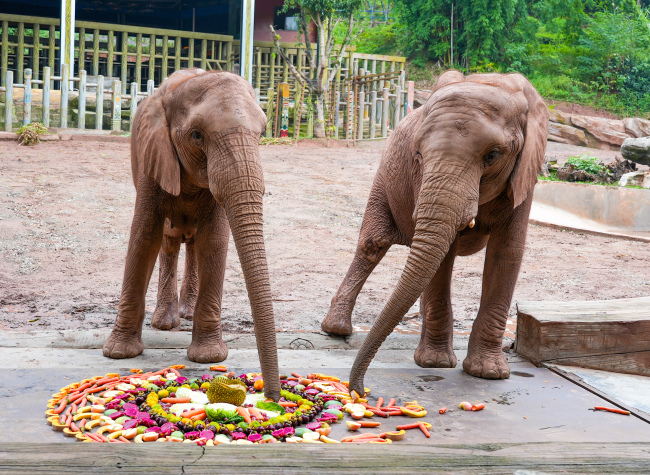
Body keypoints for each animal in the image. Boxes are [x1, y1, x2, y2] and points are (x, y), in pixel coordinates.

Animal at [103, 69, 281, 400]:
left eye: (262, 133)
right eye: (197, 136)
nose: (271, 397)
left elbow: (215, 241)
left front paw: (208, 356)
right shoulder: (152, 155)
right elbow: (144, 235)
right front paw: (119, 353)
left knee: (195, 243)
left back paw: (184, 315)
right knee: (168, 240)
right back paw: (166, 322)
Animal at [320, 71, 549, 396]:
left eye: (493, 155)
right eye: (417, 154)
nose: (362, 390)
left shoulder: (525, 174)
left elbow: (507, 253)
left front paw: (489, 373)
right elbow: (443, 256)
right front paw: (435, 364)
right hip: (384, 175)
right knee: (372, 244)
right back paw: (337, 329)